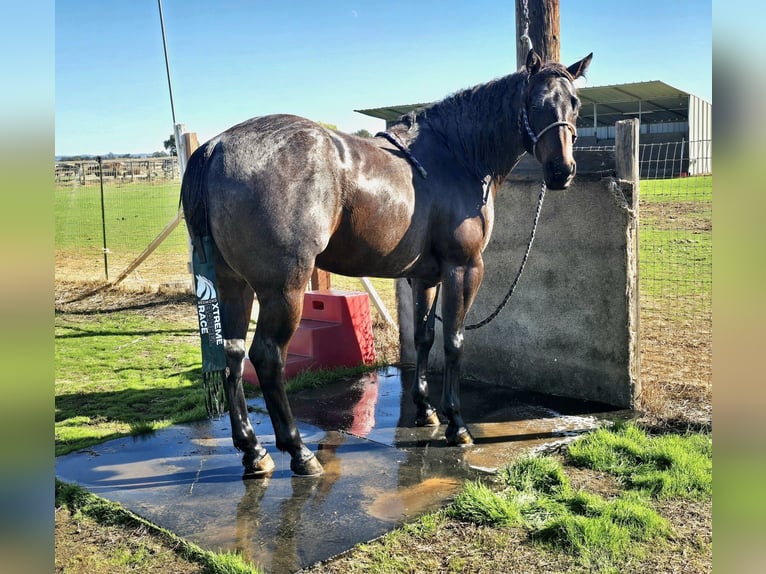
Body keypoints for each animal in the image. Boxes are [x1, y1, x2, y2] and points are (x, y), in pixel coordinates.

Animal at [181, 49, 592, 477]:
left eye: (575, 103)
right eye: (536, 104)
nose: (562, 171)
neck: (456, 155)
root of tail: (217, 146)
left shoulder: (425, 277)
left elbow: (424, 337)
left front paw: (425, 411)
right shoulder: (464, 268)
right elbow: (454, 341)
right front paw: (457, 425)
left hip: (233, 285)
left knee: (232, 354)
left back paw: (252, 450)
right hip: (284, 290)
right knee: (266, 357)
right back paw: (298, 451)